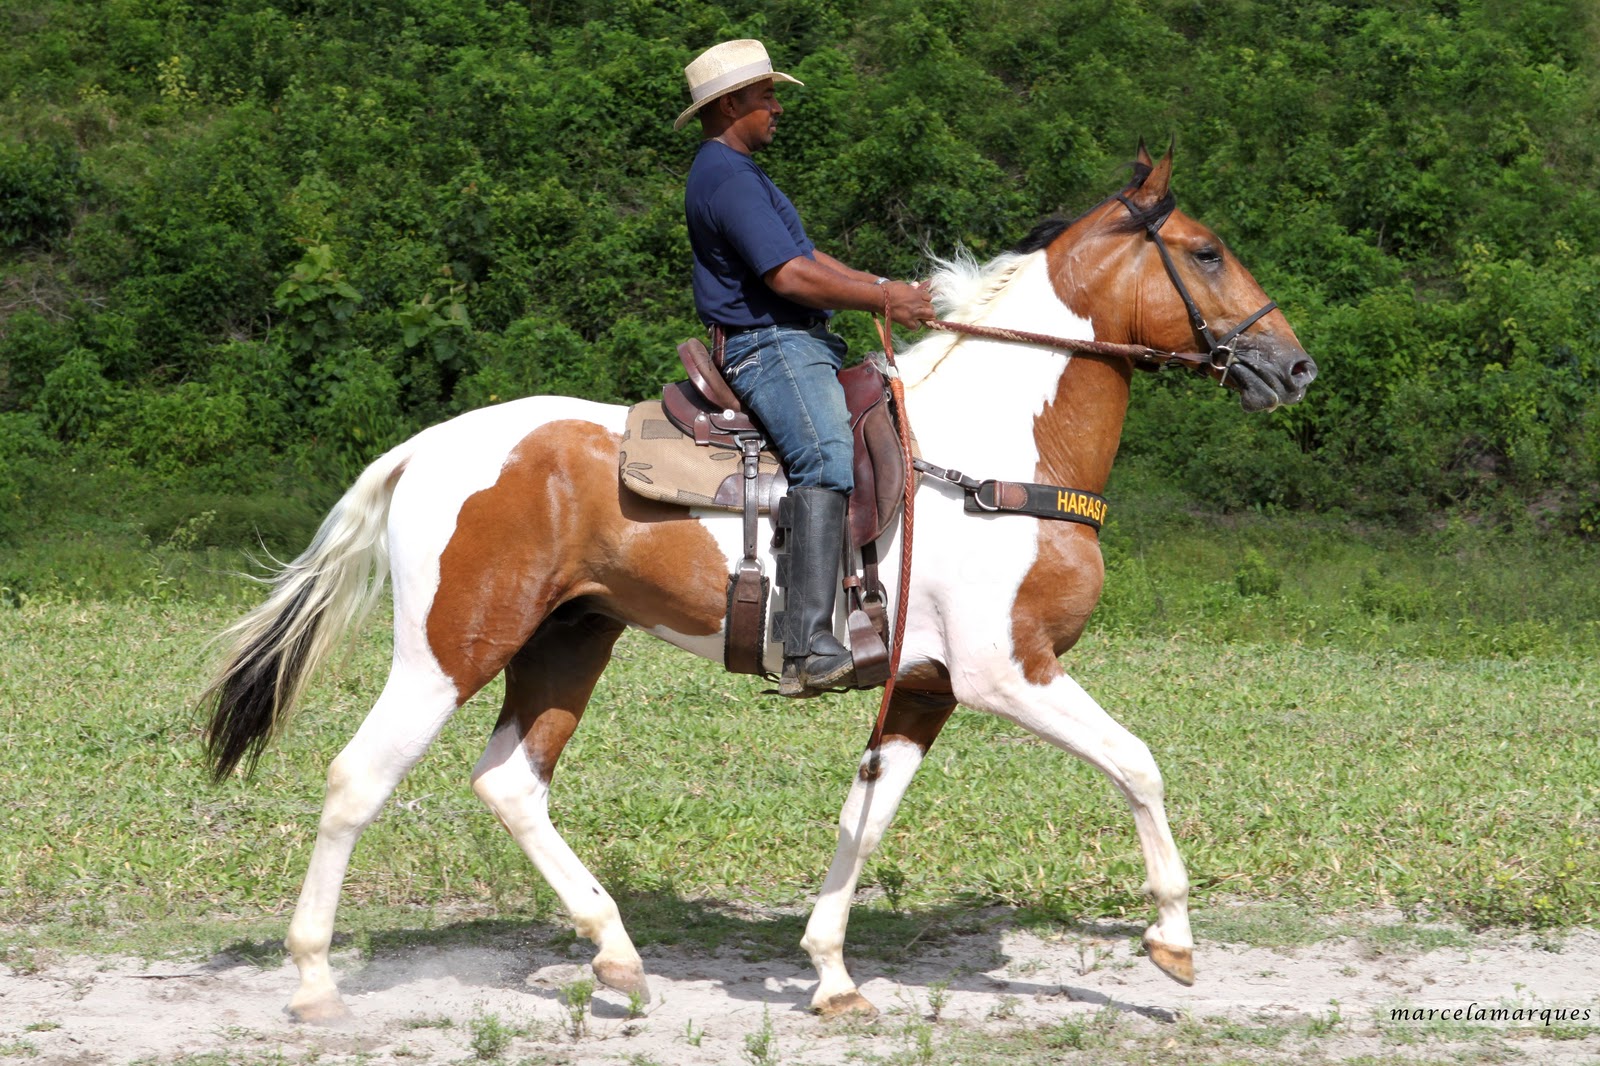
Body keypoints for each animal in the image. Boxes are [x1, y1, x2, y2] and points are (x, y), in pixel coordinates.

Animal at [206, 145, 1318, 1017]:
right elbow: (1138, 763)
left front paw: (829, 973)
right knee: (357, 780)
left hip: (569, 642)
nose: (1295, 366)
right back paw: (314, 980)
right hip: (448, 652)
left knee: (511, 782)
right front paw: (1172, 940)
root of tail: (426, 447)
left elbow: (866, 813)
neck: (993, 452)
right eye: (1207, 251)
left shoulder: (925, 689)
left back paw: (616, 954)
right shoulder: (1009, 672)